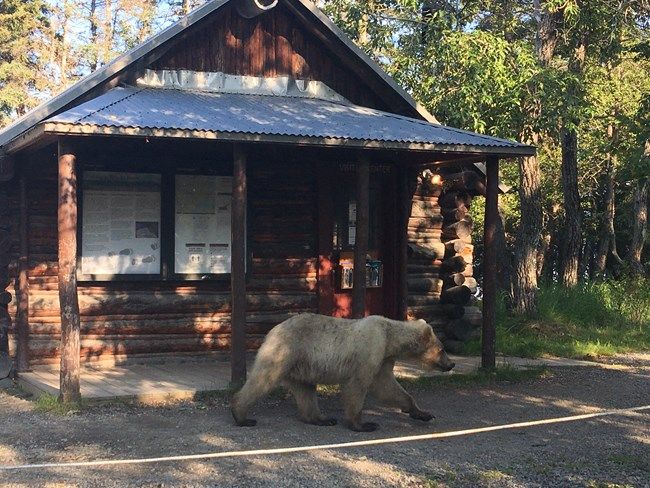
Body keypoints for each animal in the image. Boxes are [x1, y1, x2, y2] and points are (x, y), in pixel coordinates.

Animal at [231, 313, 455, 432]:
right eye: (442, 349)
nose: (451, 364)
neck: (391, 338)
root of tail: (272, 330)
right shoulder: (370, 349)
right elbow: (358, 385)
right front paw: (363, 424)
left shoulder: (383, 359)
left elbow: (388, 387)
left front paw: (422, 413)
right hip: (286, 351)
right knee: (264, 378)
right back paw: (241, 415)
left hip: (302, 366)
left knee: (305, 392)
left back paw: (322, 418)